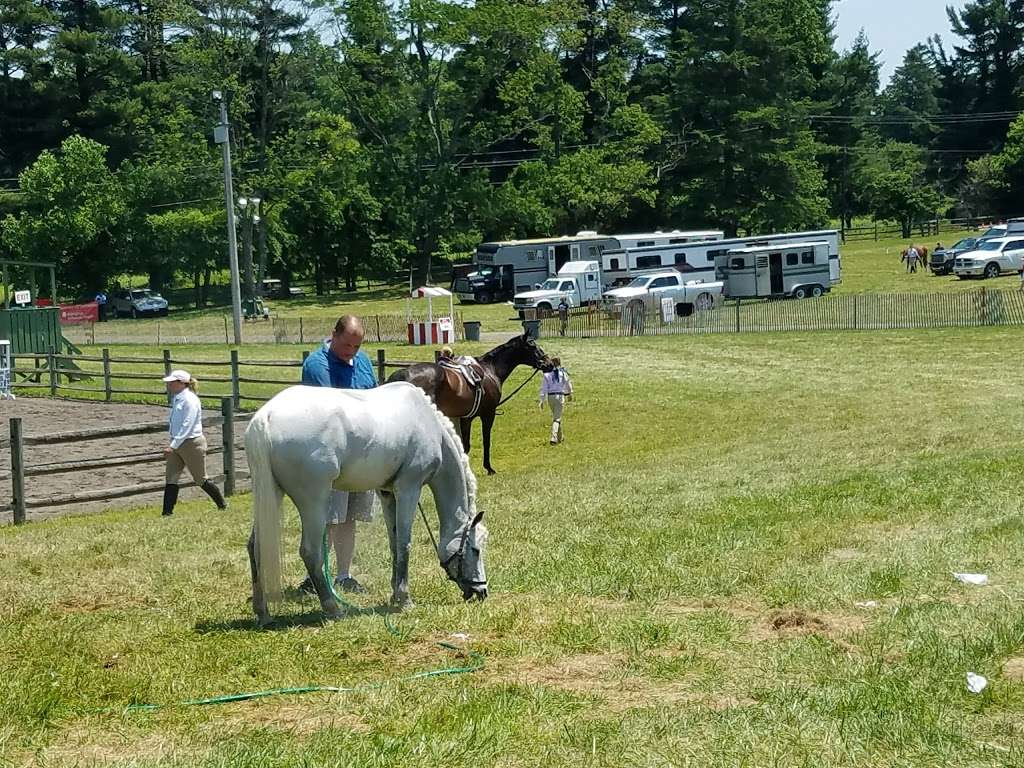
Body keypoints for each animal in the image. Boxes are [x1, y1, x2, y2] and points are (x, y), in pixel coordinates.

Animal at [245, 378, 489, 626]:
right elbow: (405, 543)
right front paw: (405, 600)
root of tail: (266, 416)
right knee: (310, 551)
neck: (427, 423)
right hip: (314, 504)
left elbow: (395, 543)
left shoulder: (387, 494)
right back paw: (333, 608)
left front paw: (395, 595)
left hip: (271, 496)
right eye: (476, 549)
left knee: (255, 547)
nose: (482, 592)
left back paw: (263, 613)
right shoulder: (408, 490)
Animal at [387, 335, 552, 475]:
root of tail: (402, 375)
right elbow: (486, 441)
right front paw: (489, 468)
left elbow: (464, 445)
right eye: (532, 346)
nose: (549, 363)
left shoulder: (465, 418)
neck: (490, 370)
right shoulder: (488, 414)